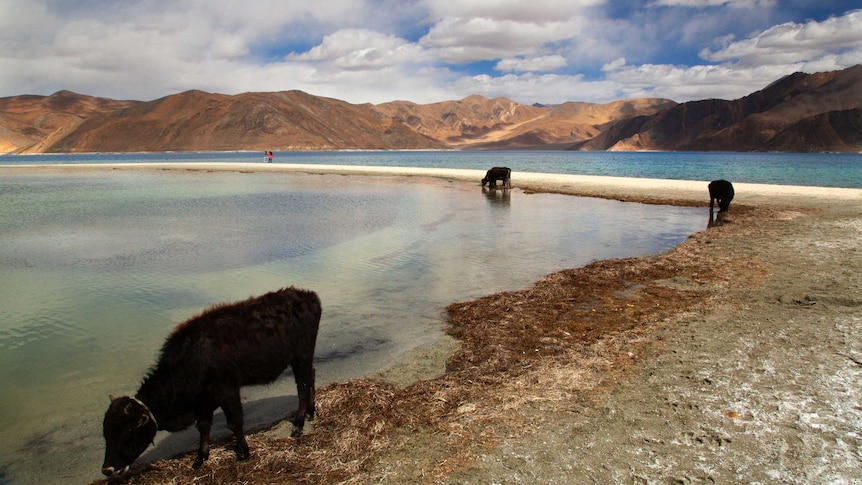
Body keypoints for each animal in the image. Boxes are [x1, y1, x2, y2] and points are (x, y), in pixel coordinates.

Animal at [101, 286, 322, 474]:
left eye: (128, 429)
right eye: (106, 432)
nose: (107, 469)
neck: (190, 360)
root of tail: (308, 296)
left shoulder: (228, 392)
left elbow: (235, 422)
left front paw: (242, 452)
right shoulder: (203, 402)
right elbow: (204, 427)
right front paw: (200, 458)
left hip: (301, 356)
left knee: (302, 386)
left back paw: (298, 425)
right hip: (302, 358)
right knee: (310, 376)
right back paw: (311, 412)